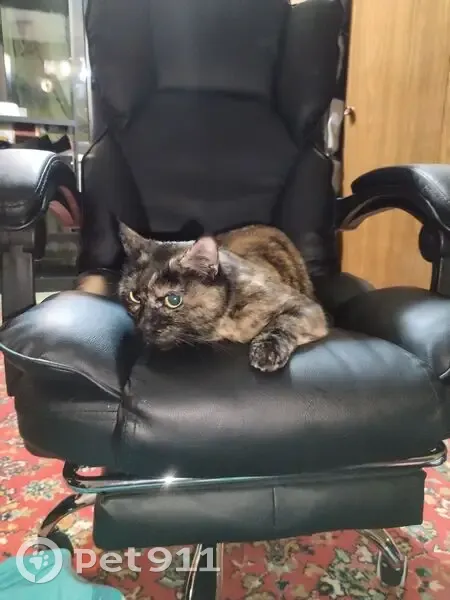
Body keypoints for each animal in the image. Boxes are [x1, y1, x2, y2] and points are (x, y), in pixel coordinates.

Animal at [118, 223, 328, 372]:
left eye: (173, 300)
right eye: (134, 297)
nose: (143, 326)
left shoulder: (306, 306)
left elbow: (285, 322)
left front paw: (267, 350)